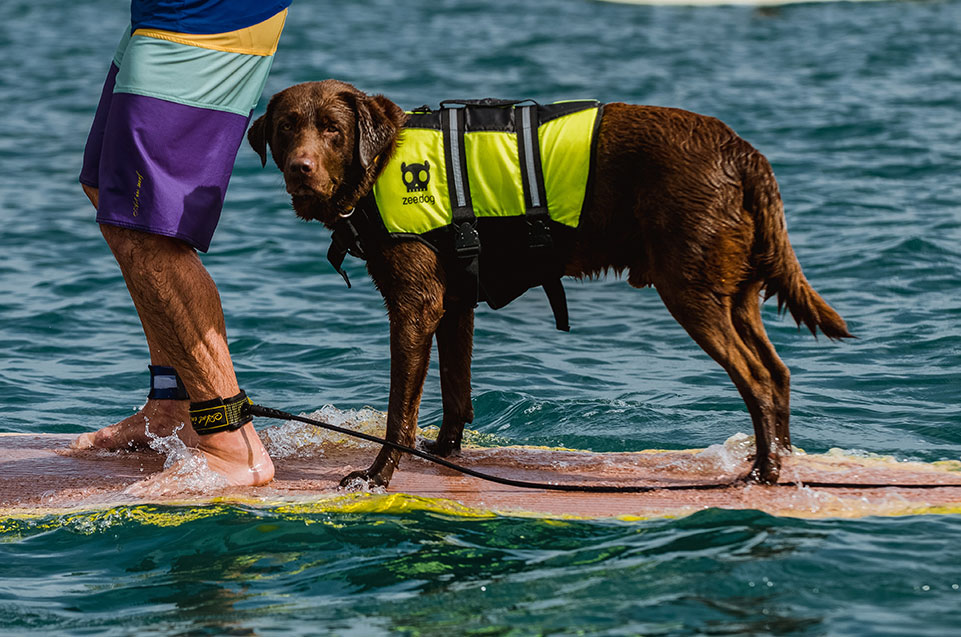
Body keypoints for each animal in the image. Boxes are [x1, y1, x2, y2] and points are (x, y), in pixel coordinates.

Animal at [249, 79, 856, 486]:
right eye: (286, 128)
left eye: (333, 130)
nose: (300, 168)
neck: (379, 165)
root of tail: (741, 151)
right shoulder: (455, 305)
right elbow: (455, 393)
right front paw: (445, 453)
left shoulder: (415, 305)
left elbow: (402, 408)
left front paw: (378, 474)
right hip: (736, 292)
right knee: (777, 374)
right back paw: (780, 461)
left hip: (691, 291)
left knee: (756, 379)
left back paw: (763, 474)